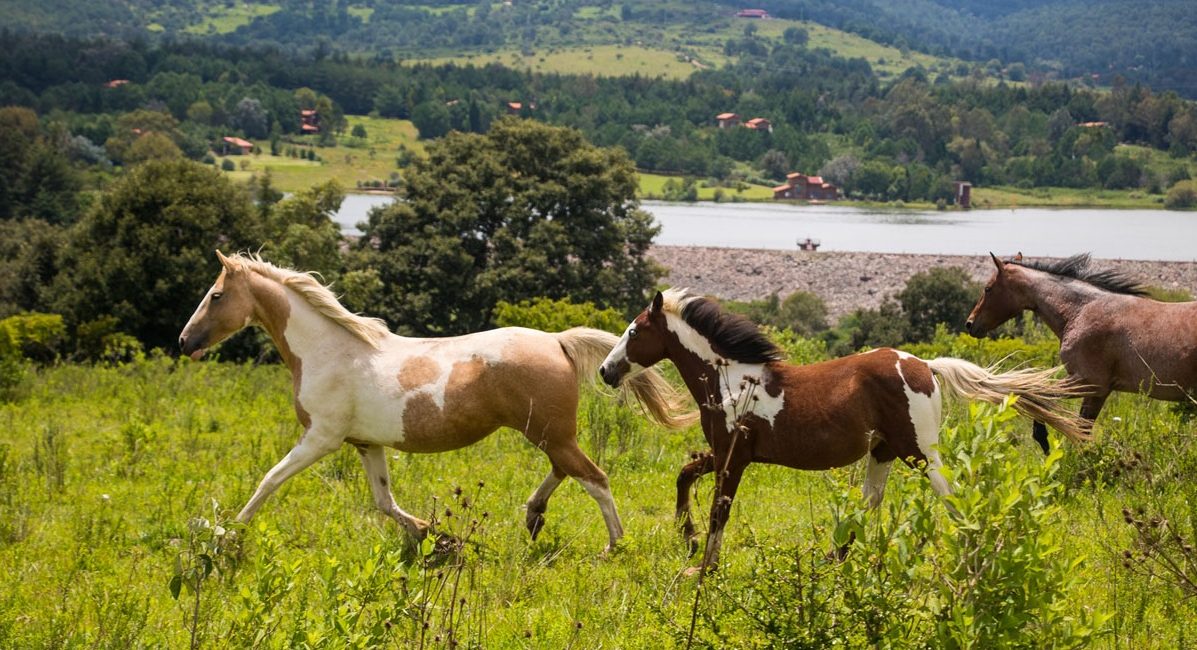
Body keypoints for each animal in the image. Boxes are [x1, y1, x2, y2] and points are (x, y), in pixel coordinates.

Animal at [177, 251, 694, 553]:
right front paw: (431, 532)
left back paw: (614, 545)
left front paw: (228, 537)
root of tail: (556, 340)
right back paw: (533, 517)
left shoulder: (320, 437)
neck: (328, 350)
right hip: (549, 434)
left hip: (550, 433)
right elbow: (384, 501)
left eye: (216, 295)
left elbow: (268, 481)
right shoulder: (365, 444)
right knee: (567, 471)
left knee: (595, 479)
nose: (185, 341)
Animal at [593, 287, 1091, 572]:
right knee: (869, 506)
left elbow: (720, 509)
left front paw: (704, 567)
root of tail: (926, 366)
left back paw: (971, 561)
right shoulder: (724, 451)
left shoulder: (735, 456)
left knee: (952, 499)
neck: (731, 380)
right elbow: (684, 475)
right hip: (884, 453)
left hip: (920, 452)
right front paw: (688, 536)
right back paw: (836, 562)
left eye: (634, 332)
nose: (605, 371)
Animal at [962, 252, 1197, 452]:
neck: (1081, 310)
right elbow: (1082, 429)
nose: (970, 324)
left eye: (988, 288)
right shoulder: (1099, 391)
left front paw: (1044, 440)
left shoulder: (1087, 382)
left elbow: (1041, 397)